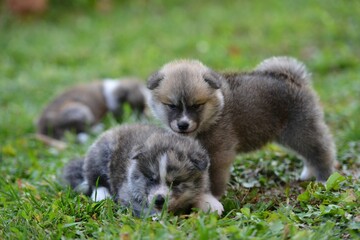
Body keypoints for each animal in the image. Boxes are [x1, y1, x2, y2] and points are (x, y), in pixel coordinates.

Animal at [63, 124, 224, 216]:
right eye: (151, 179)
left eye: (176, 183)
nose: (159, 200)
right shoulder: (127, 192)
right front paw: (157, 217)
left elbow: (202, 191)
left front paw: (211, 204)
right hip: (101, 153)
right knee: (95, 180)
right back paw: (102, 197)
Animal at [146, 57, 338, 198]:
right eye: (172, 106)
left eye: (197, 105)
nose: (183, 124)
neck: (215, 114)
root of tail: (292, 77)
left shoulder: (219, 155)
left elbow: (214, 179)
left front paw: (213, 197)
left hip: (300, 130)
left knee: (321, 150)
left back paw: (324, 178)